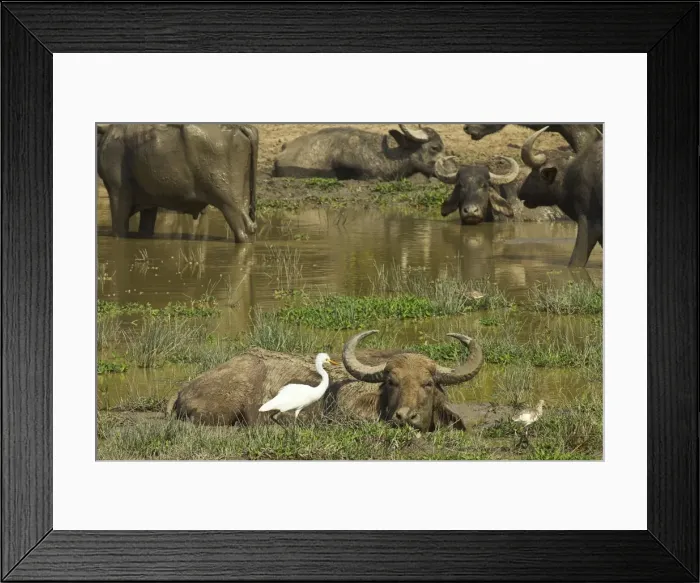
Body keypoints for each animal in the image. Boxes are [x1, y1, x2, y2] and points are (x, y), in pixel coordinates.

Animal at [97, 123, 258, 243]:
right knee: (249, 227)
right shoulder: (149, 202)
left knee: (242, 229)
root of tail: (239, 127)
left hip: (228, 202)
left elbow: (119, 229)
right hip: (242, 196)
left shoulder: (117, 192)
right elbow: (145, 228)